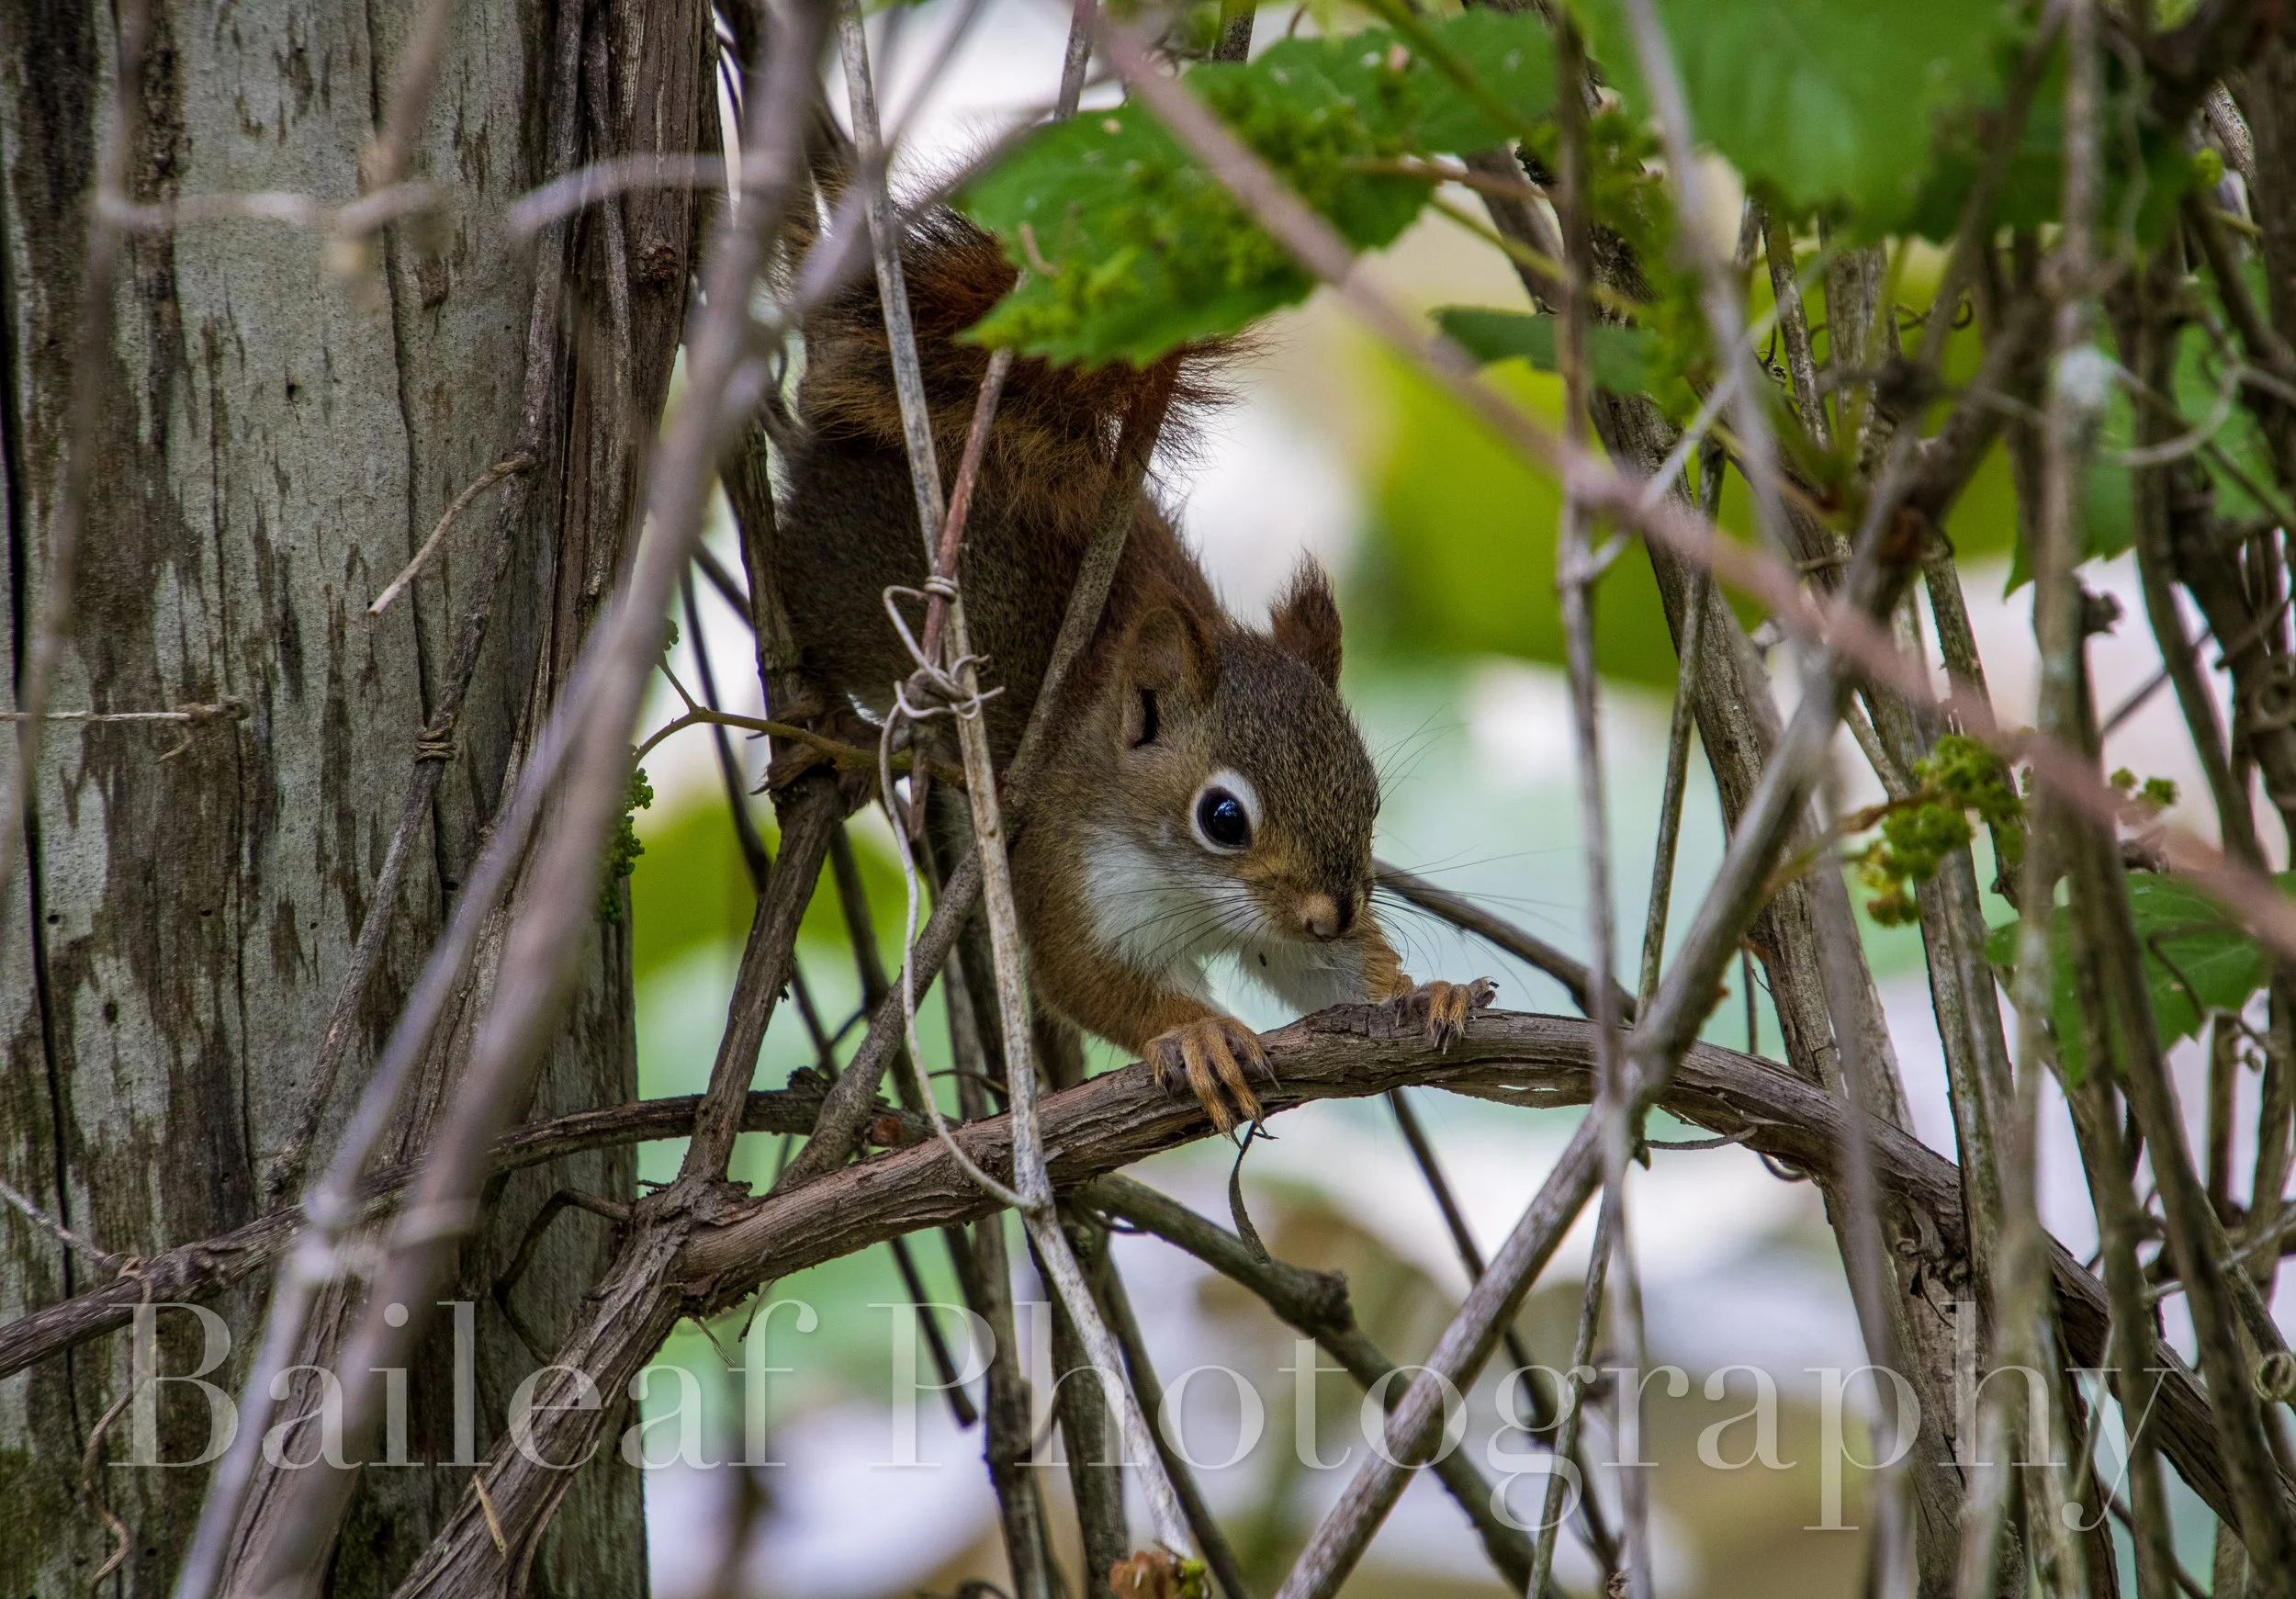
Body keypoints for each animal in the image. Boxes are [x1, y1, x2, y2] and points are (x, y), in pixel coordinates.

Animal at [770, 208, 1489, 1132]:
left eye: (1370, 796)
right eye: (1223, 817)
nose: (1332, 911)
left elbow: (1320, 972)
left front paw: (1418, 991)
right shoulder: (1063, 862)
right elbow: (1088, 978)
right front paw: (1199, 1035)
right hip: (838, 597)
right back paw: (833, 731)